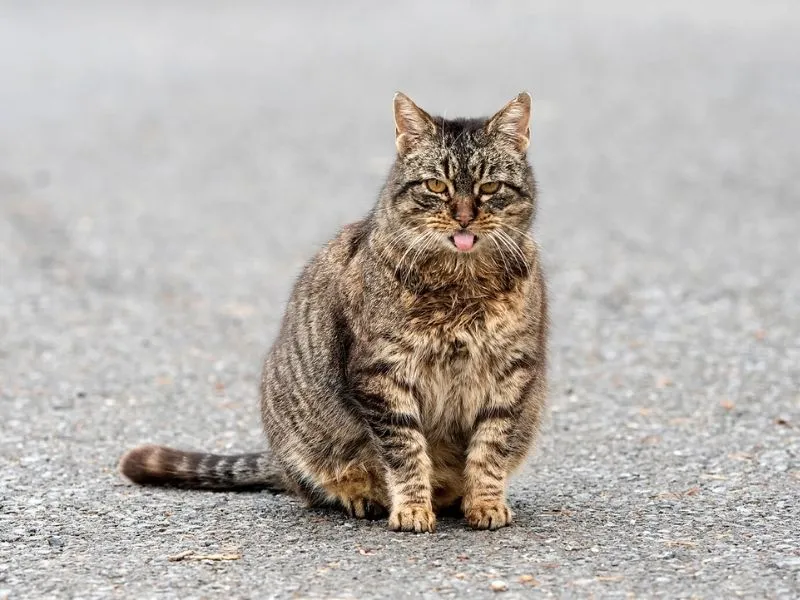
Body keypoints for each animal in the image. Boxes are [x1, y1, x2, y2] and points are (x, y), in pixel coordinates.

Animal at [120, 91, 552, 532]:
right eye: (436, 185)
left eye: (490, 186)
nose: (464, 217)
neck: (461, 283)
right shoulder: (382, 373)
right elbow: (405, 451)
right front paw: (412, 508)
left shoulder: (512, 371)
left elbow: (491, 447)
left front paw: (485, 502)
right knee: (319, 485)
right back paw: (361, 496)